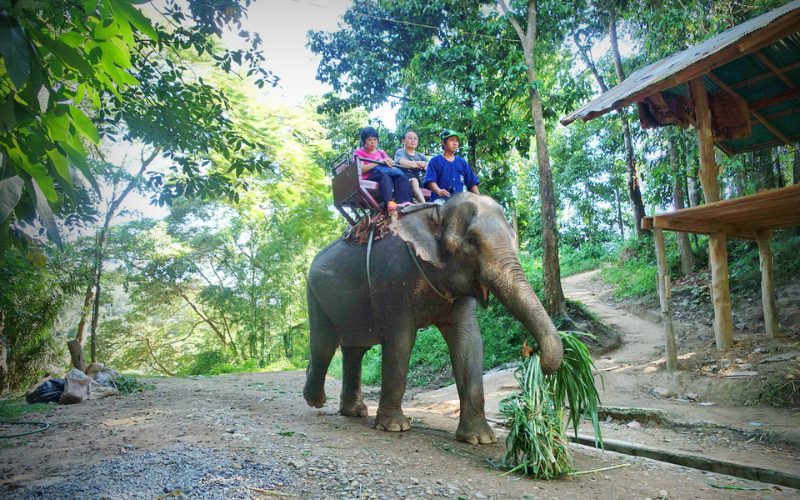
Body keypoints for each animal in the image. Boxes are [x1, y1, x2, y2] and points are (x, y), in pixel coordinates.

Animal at [304, 193, 564, 444]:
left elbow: (469, 343)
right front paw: (394, 427)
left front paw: (480, 439)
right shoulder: (393, 281)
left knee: (355, 348)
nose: (531, 352)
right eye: (471, 240)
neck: (435, 211)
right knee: (325, 345)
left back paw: (354, 412)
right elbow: (400, 342)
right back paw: (315, 401)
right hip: (315, 293)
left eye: (513, 237)